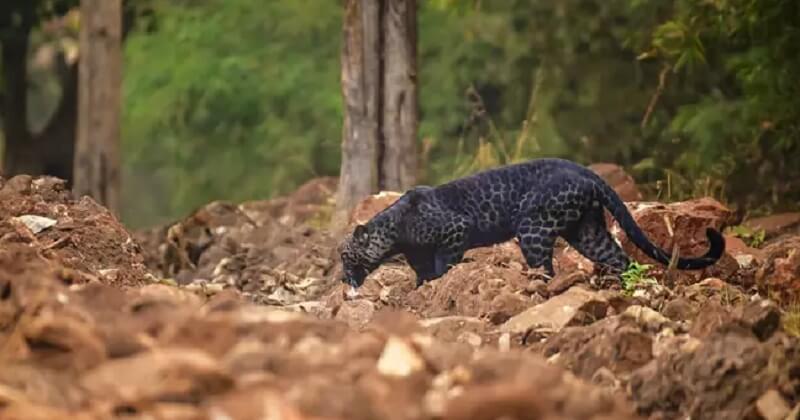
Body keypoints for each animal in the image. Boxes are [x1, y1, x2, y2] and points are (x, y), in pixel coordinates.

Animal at [338, 158, 724, 288]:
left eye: (344, 255)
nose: (342, 277)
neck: (396, 233)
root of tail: (584, 170)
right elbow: (421, 272)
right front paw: (420, 291)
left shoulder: (455, 230)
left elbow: (442, 263)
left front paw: (439, 283)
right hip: (586, 230)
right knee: (619, 257)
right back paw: (619, 285)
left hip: (534, 230)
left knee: (546, 267)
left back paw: (540, 287)